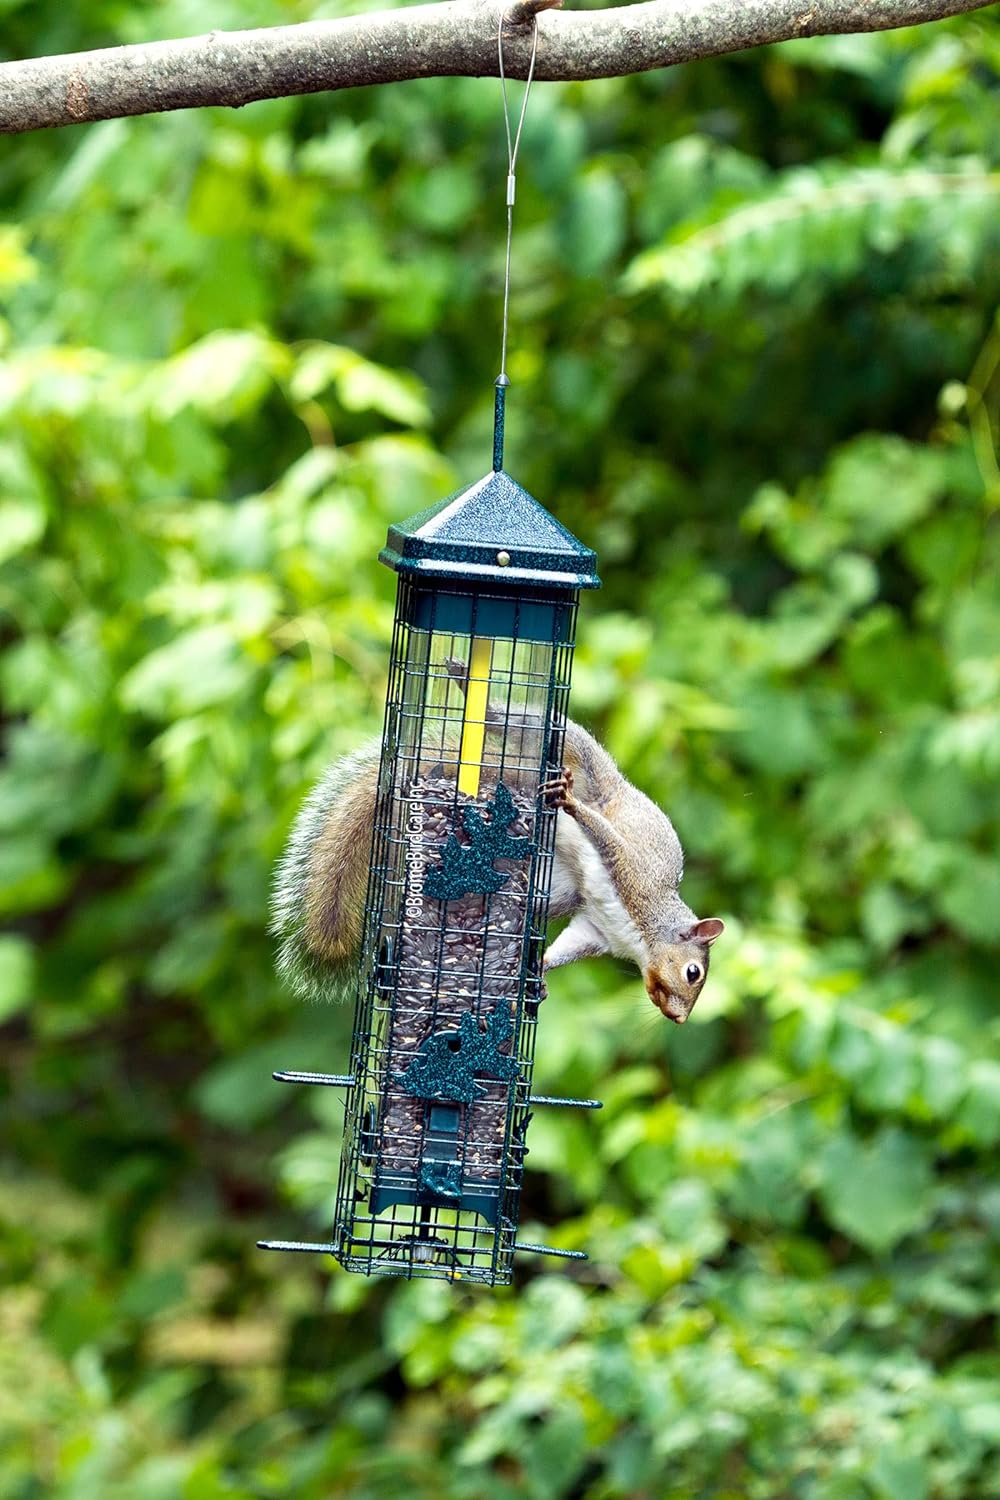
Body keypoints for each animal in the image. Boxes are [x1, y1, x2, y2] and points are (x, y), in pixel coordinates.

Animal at [272, 692, 724, 1024]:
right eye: (693, 973)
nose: (678, 1018)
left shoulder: (595, 928)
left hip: (558, 888)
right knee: (533, 727)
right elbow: (607, 839)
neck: (642, 935)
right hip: (582, 760)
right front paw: (571, 805)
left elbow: (569, 944)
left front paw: (539, 973)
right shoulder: (633, 876)